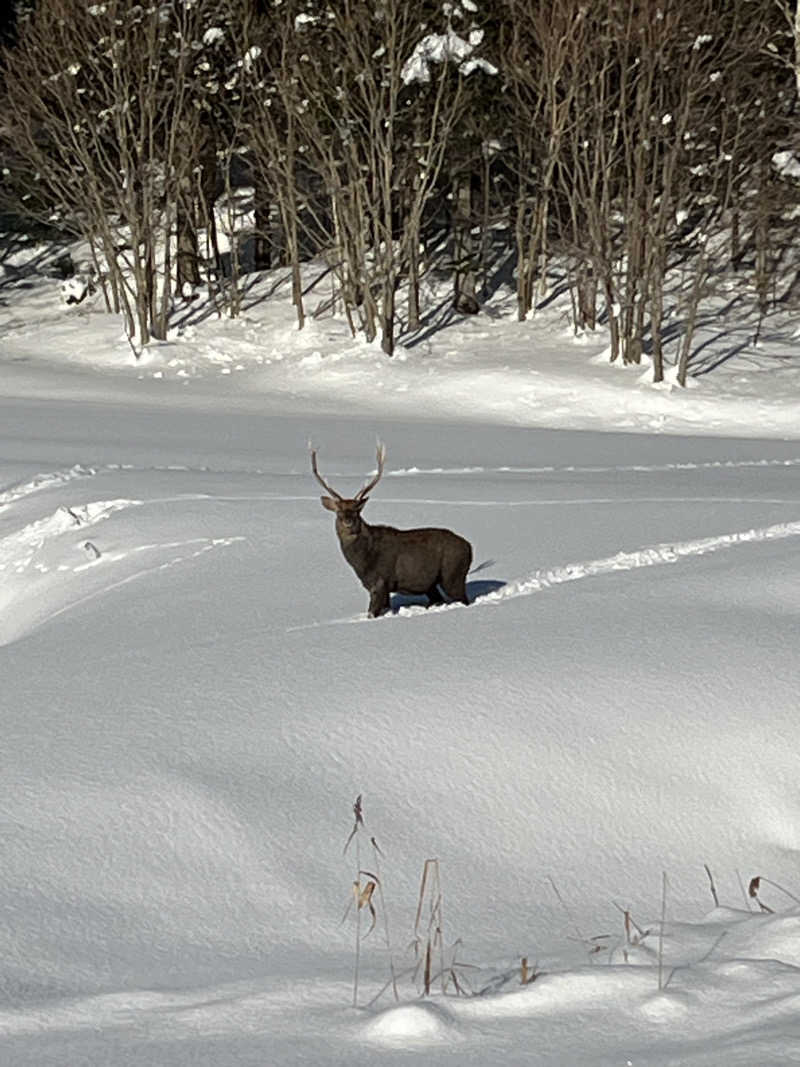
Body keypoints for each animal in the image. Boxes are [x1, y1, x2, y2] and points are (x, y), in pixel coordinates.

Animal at [311, 443, 473, 618]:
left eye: (357, 511)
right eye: (339, 512)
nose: (348, 521)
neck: (362, 560)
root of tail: (470, 547)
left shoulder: (380, 581)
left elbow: (371, 613)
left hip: (453, 574)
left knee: (463, 599)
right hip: (431, 583)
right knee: (437, 599)